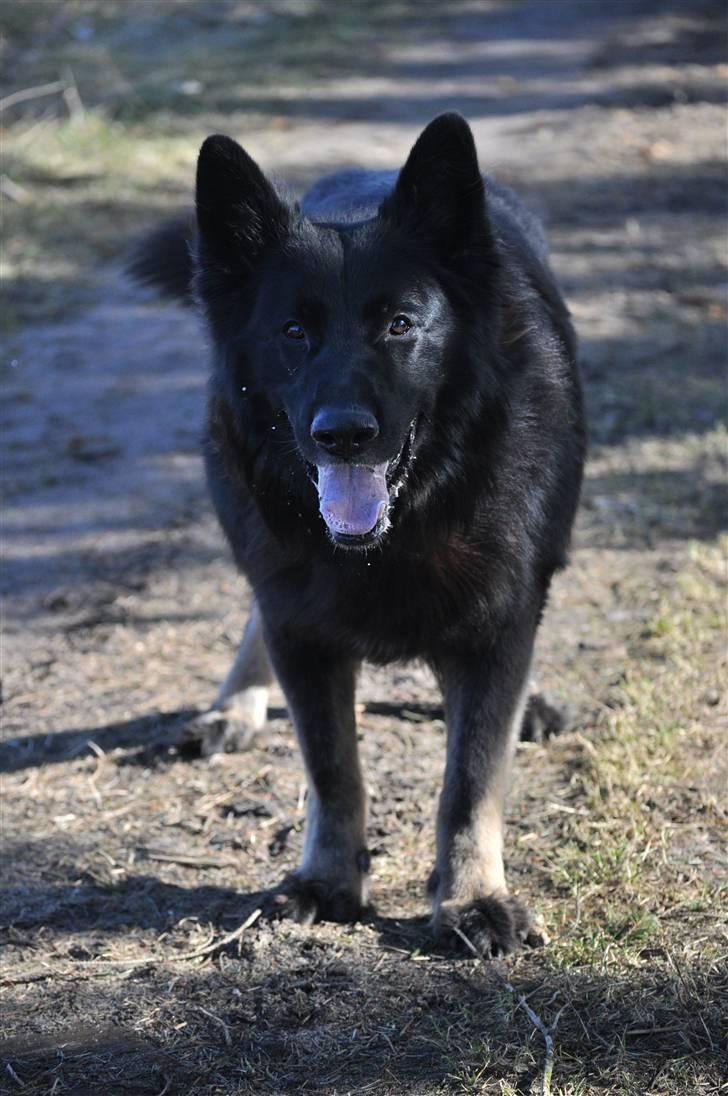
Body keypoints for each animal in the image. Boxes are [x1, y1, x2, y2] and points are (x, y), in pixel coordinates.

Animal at [131, 115, 587, 955]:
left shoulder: (496, 626)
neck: (395, 536)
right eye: (293, 331)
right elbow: (332, 767)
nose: (341, 435)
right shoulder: (303, 627)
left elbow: (471, 779)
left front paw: (473, 898)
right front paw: (328, 881)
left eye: (400, 325)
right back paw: (234, 705)